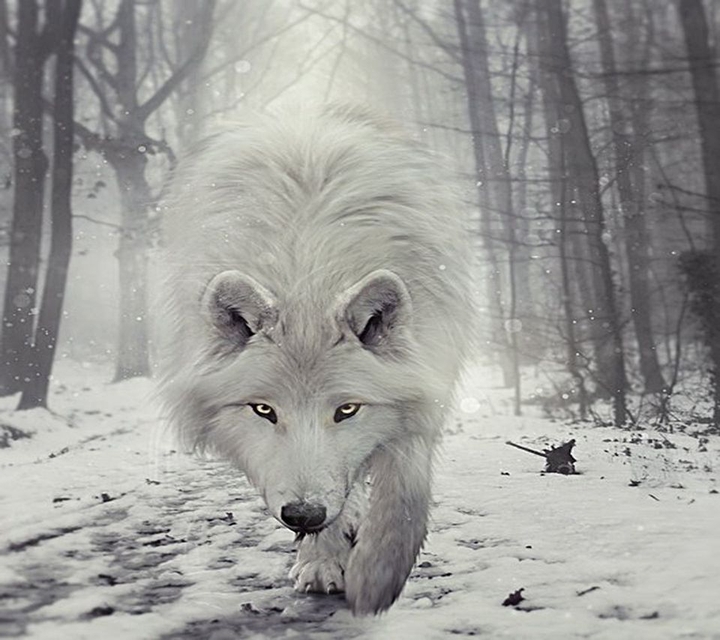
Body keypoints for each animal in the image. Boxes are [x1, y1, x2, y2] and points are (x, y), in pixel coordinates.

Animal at [158, 104, 475, 614]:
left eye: (347, 409)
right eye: (263, 410)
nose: (303, 516)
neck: (307, 273)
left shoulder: (427, 375)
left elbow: (404, 487)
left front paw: (377, 576)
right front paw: (323, 560)